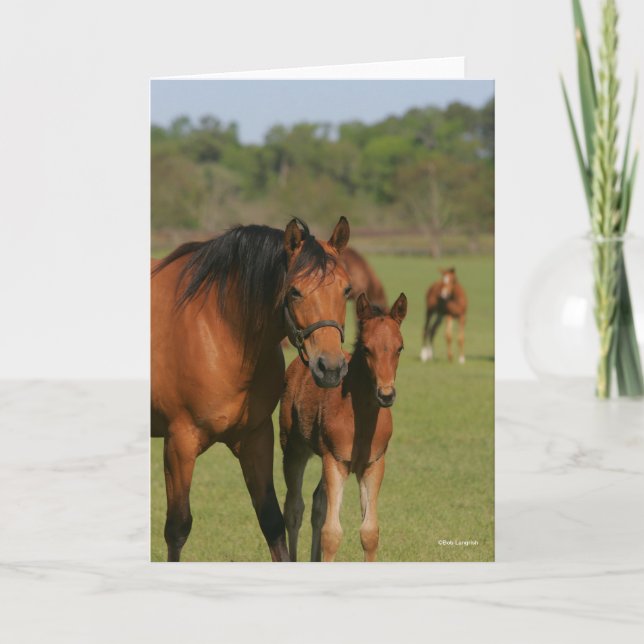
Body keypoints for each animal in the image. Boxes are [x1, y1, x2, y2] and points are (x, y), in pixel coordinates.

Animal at [151, 217, 352, 562]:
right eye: (295, 291)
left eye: (346, 289)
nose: (330, 368)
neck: (220, 328)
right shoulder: (180, 443)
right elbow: (177, 528)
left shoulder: (255, 437)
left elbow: (271, 520)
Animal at [280, 292, 407, 562]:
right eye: (366, 349)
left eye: (399, 348)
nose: (386, 395)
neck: (359, 420)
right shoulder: (335, 461)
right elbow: (332, 533)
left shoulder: (373, 464)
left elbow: (369, 532)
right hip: (293, 449)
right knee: (294, 508)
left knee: (318, 503)